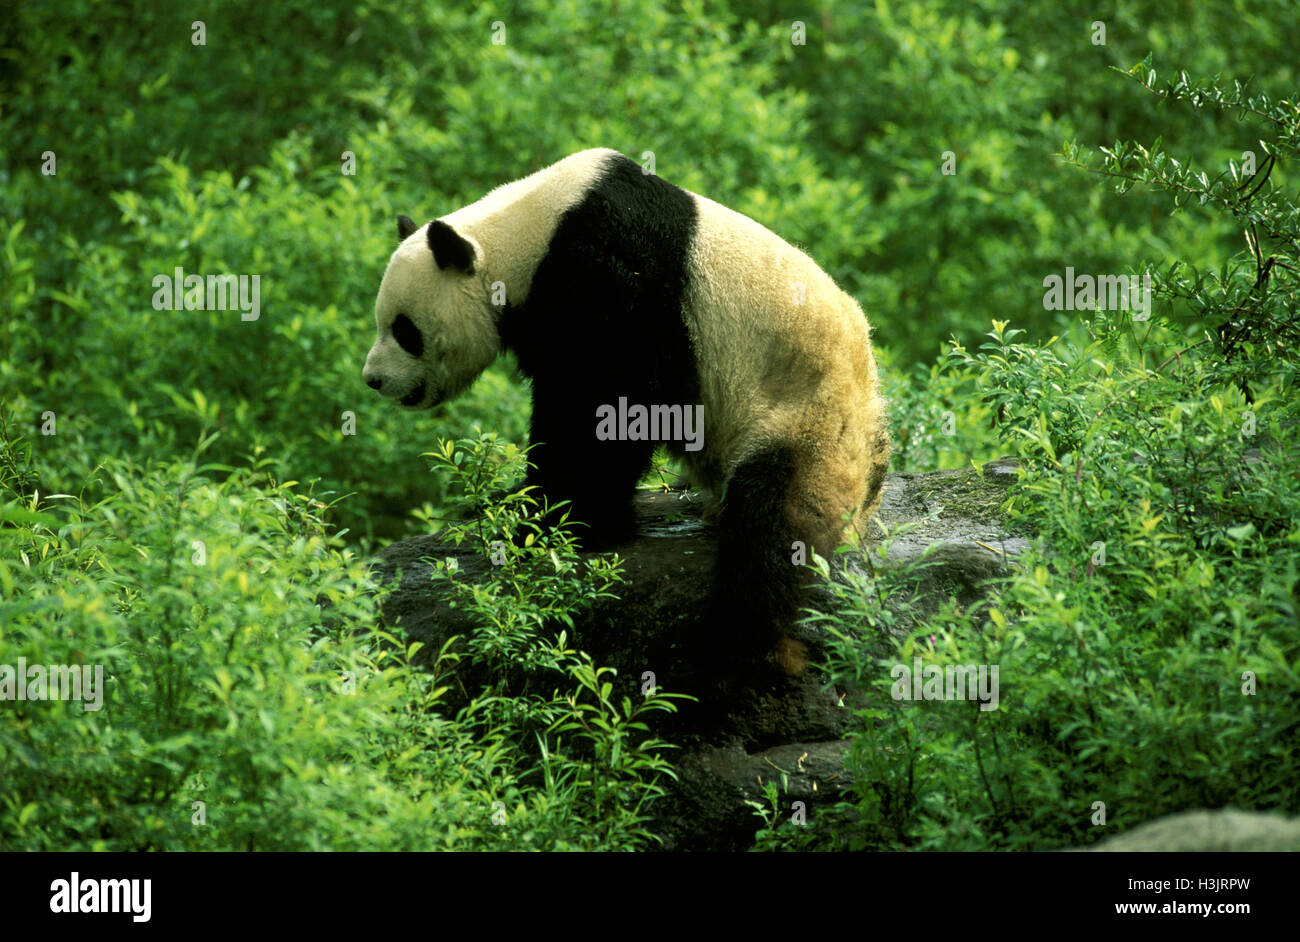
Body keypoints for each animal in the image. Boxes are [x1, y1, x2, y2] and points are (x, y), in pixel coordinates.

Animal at [363, 148, 889, 678]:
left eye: (405, 330)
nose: (373, 379)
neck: (520, 233)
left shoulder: (615, 272)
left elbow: (610, 404)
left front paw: (561, 521)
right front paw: (511, 501)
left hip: (811, 415)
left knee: (775, 519)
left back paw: (744, 644)